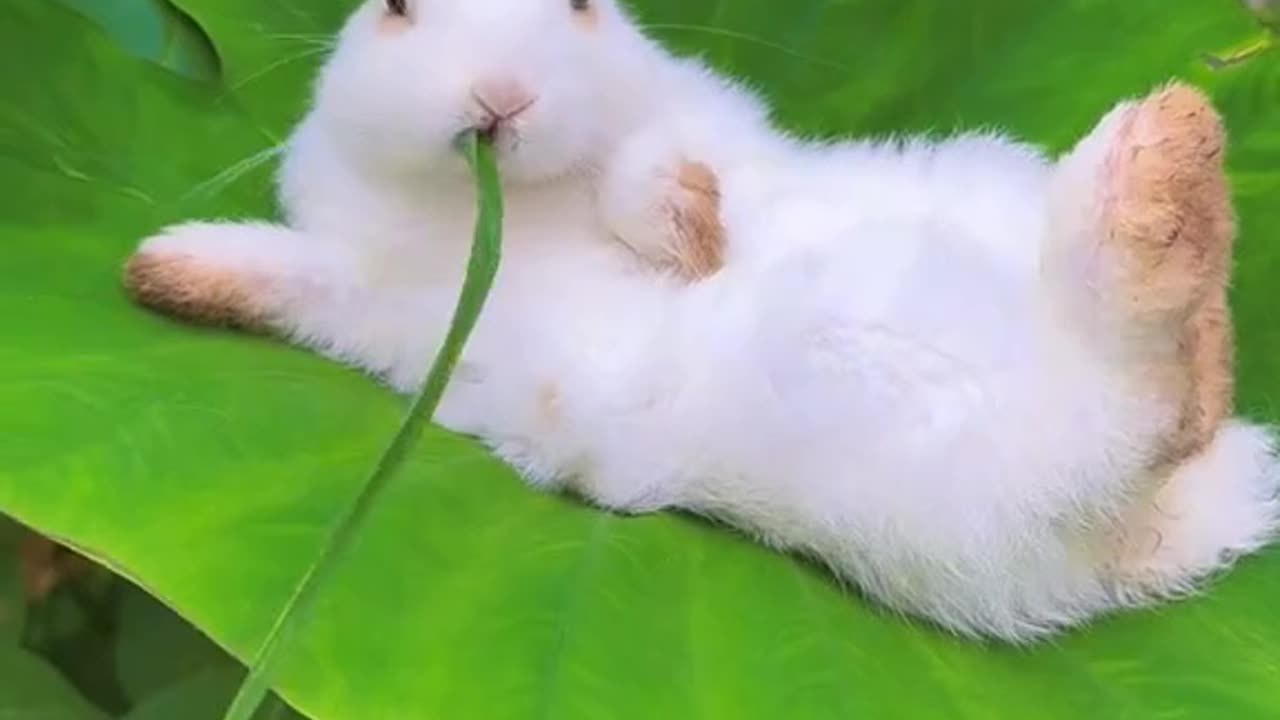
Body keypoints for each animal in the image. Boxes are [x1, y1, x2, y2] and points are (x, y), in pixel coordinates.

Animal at [122, 0, 1280, 638]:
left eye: (581, 3)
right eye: (397, 6)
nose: (501, 98)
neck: (508, 203)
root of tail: (1193, 516)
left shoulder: (712, 125)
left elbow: (666, 166)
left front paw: (683, 232)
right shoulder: (363, 287)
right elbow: (287, 276)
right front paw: (160, 270)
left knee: (1147, 381)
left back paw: (1167, 157)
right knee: (1146, 406)